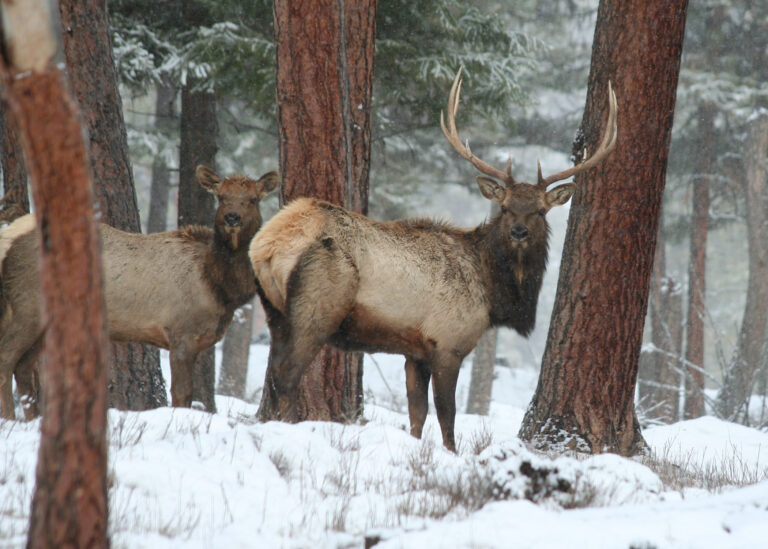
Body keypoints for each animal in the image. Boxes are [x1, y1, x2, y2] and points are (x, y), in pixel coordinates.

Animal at [0, 166, 279, 419]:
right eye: (221, 197)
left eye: (253, 199)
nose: (233, 217)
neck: (220, 288)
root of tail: (10, 239)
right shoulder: (181, 333)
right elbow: (182, 393)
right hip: (26, 307)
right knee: (6, 359)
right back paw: (9, 419)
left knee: (23, 367)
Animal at [249, 68, 618, 451]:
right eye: (504, 207)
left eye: (541, 211)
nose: (519, 232)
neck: (493, 294)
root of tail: (266, 244)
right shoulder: (448, 342)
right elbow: (446, 414)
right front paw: (452, 454)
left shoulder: (415, 352)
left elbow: (417, 413)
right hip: (316, 305)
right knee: (285, 375)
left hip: (274, 311)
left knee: (273, 376)